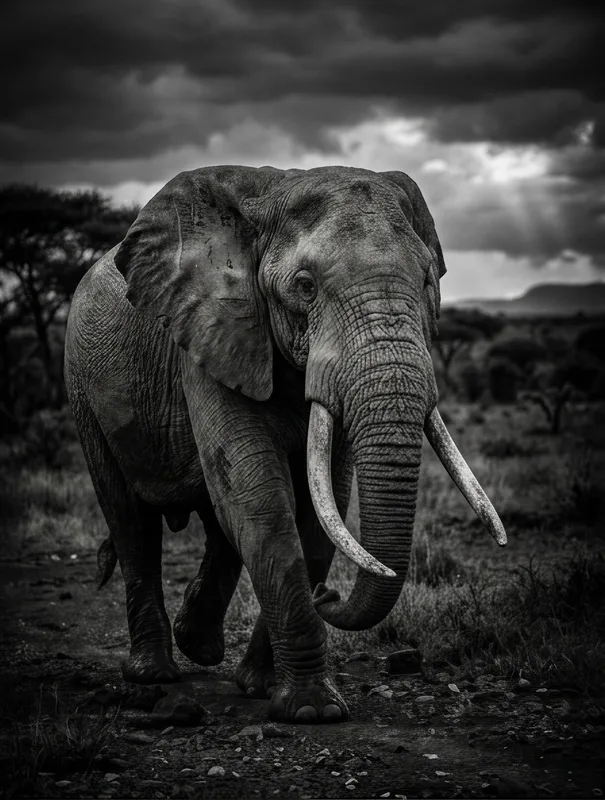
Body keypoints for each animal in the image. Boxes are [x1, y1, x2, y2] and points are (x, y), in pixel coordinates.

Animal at [64, 165, 506, 723]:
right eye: (304, 286)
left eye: (429, 282)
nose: (329, 597)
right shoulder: (212, 332)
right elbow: (260, 501)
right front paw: (314, 710)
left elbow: (321, 507)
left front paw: (264, 687)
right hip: (83, 388)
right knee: (130, 519)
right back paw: (154, 674)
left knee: (216, 521)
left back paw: (199, 647)